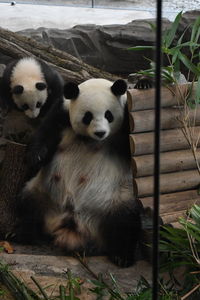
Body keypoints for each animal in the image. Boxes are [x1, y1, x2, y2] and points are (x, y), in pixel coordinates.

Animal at [18, 77, 141, 268]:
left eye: (109, 115)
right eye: (87, 116)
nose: (100, 132)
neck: (89, 139)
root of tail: (74, 225)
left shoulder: (124, 129)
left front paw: (145, 83)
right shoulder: (61, 114)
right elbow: (44, 133)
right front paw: (36, 158)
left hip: (117, 199)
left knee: (126, 222)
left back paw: (122, 256)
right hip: (41, 192)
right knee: (28, 206)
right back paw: (27, 235)